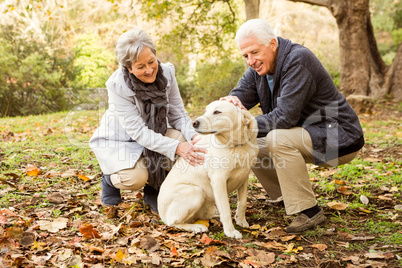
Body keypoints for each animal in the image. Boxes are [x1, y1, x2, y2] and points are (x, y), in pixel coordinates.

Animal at [157, 100, 258, 239]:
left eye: (217, 112)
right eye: (206, 111)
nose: (194, 123)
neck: (236, 145)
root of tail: (160, 214)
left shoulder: (244, 176)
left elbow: (242, 202)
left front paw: (241, 220)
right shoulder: (218, 180)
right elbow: (226, 209)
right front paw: (230, 231)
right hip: (195, 191)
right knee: (173, 222)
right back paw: (197, 227)